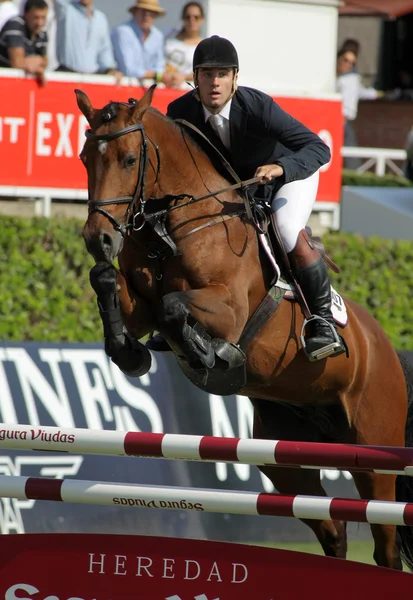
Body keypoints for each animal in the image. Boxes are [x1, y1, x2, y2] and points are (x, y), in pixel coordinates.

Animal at [75, 85, 412, 572]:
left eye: (128, 159)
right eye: (85, 158)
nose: (97, 238)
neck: (172, 227)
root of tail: (385, 347)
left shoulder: (228, 309)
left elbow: (176, 308)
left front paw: (210, 356)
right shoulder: (140, 306)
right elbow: (106, 282)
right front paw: (130, 353)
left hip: (373, 455)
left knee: (384, 540)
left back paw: (319, 335)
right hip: (284, 460)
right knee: (333, 527)